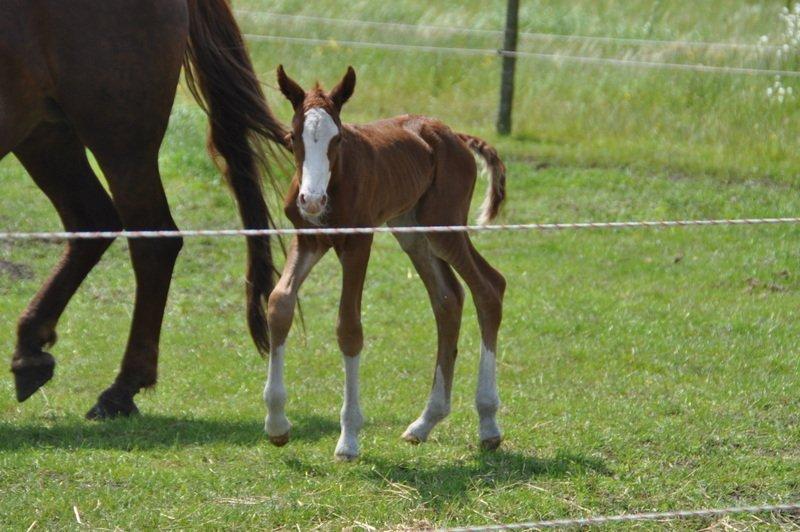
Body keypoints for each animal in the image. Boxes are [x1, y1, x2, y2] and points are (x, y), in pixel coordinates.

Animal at [0, 0, 288, 418]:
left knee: (153, 240)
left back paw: (122, 388)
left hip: (119, 139)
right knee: (93, 221)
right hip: (44, 131)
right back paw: (32, 351)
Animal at [266, 65, 510, 458]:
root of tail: (454, 135)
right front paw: (276, 425)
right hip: (411, 229)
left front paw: (348, 438)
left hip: (444, 226)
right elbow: (279, 304)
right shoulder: (308, 240)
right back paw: (425, 422)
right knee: (448, 299)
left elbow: (349, 328)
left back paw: (488, 423)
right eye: (292, 137)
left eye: (337, 139)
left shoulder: (357, 242)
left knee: (488, 287)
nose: (312, 200)